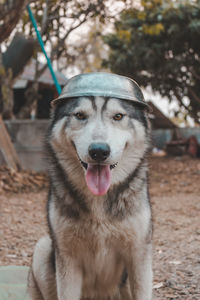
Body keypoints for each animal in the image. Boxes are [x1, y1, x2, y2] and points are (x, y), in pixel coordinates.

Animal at [27, 73, 152, 300]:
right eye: (80, 115)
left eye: (118, 116)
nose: (99, 151)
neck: (99, 199)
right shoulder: (67, 260)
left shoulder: (139, 256)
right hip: (43, 248)